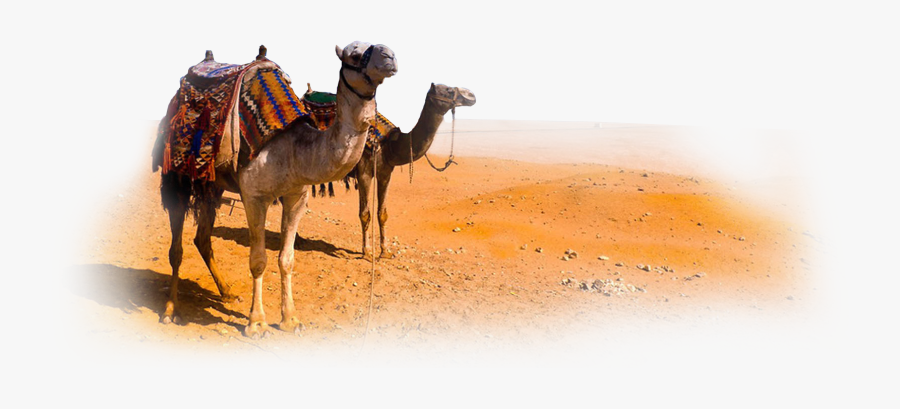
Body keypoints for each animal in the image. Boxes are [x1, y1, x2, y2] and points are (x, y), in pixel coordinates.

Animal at [155, 42, 397, 339]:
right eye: (354, 54)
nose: (390, 57)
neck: (293, 149)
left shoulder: (296, 196)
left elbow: (287, 259)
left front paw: (290, 319)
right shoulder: (254, 196)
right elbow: (258, 260)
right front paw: (256, 323)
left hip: (214, 185)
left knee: (202, 238)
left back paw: (227, 293)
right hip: (176, 175)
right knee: (176, 248)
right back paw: (170, 310)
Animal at [352, 83, 476, 259]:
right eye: (448, 90)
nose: (471, 95)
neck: (388, 144)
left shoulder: (385, 173)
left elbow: (382, 213)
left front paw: (384, 251)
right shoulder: (363, 172)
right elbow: (364, 214)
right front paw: (366, 252)